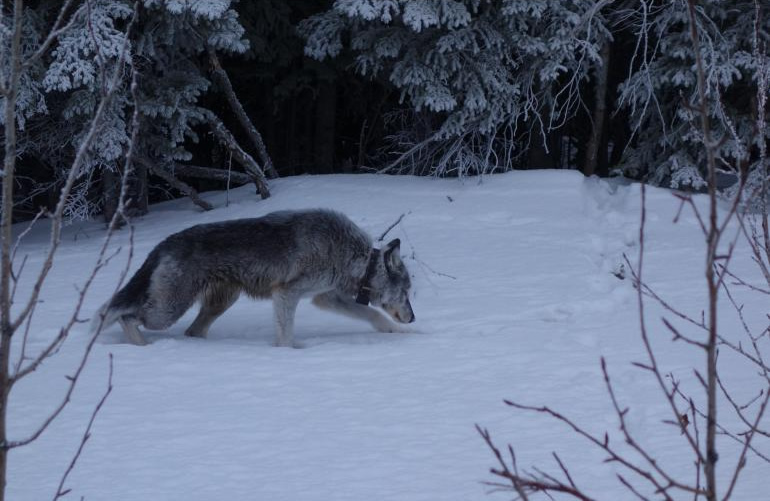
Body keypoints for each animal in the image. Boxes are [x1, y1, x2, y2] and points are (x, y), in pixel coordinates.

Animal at [93, 209, 415, 347]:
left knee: (192, 332)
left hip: (219, 303)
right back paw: (142, 347)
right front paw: (290, 353)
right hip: (167, 311)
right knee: (123, 315)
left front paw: (397, 332)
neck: (352, 256)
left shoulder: (326, 297)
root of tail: (163, 244)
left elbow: (373, 315)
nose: (412, 318)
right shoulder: (286, 293)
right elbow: (285, 335)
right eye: (407, 293)